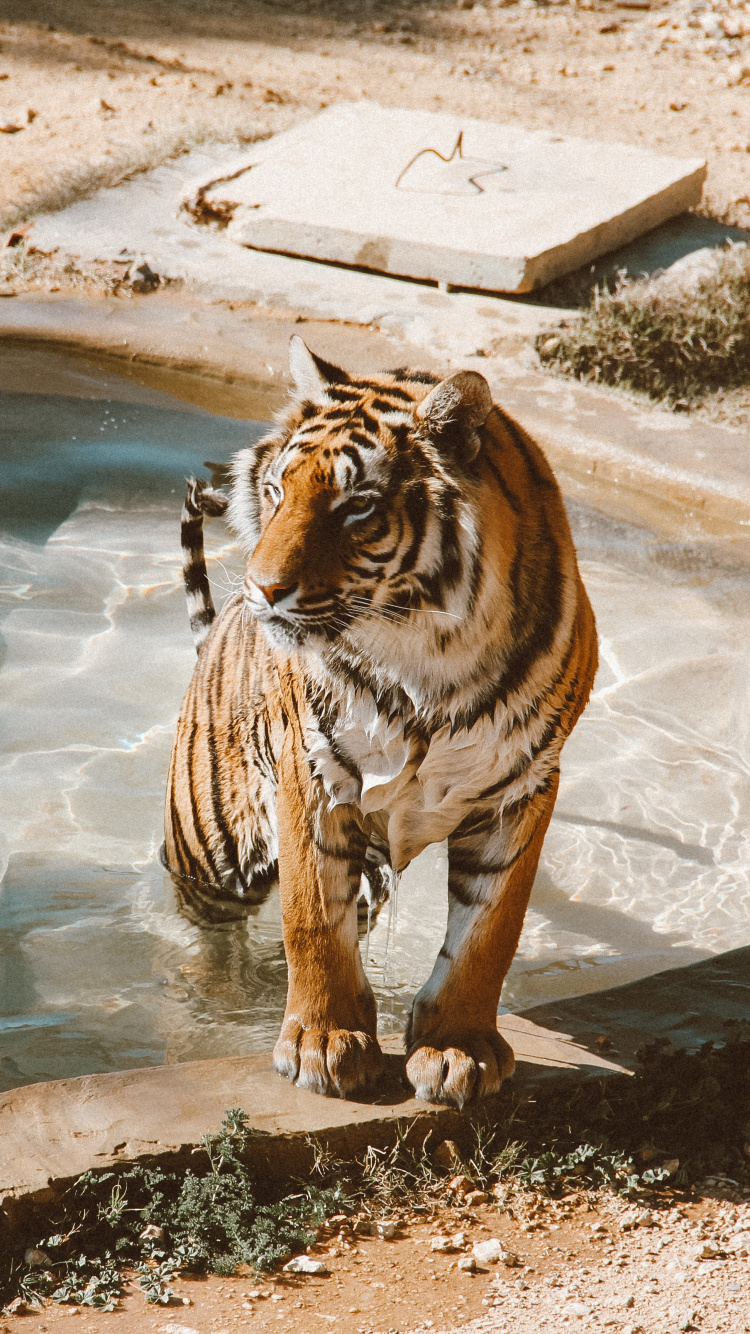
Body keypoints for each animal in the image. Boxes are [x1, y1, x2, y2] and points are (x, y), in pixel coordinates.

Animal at [162, 336, 598, 1108]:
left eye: (356, 507)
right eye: (277, 491)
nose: (261, 589)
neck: (428, 657)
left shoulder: (522, 788)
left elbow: (490, 931)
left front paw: (456, 1047)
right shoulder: (310, 774)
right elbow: (312, 919)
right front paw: (321, 1043)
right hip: (209, 850)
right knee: (200, 932)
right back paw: (209, 997)